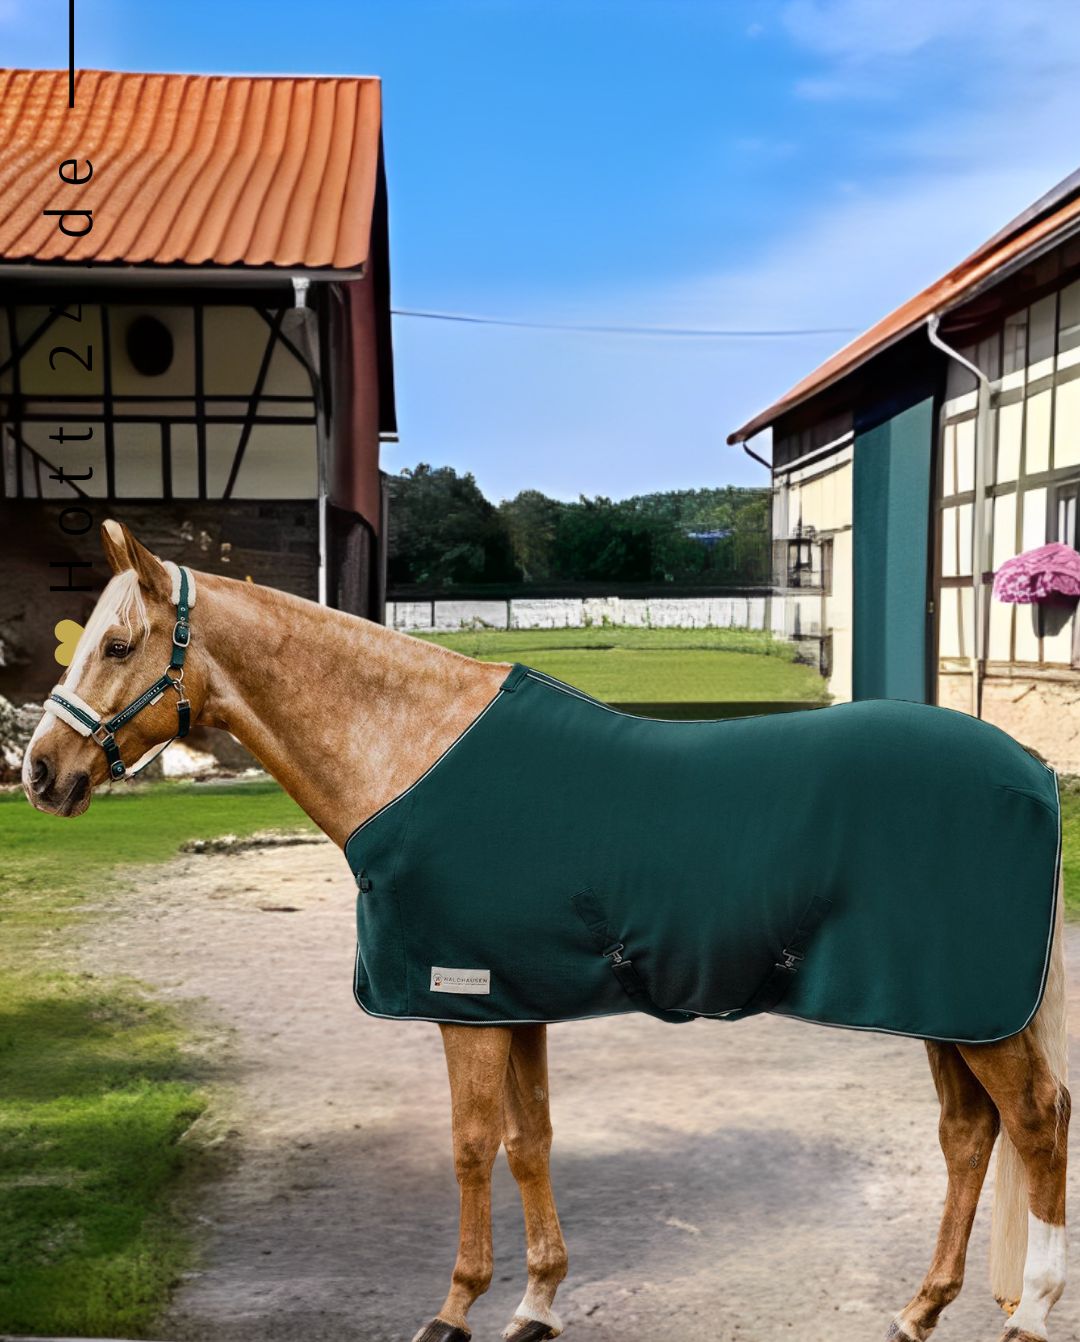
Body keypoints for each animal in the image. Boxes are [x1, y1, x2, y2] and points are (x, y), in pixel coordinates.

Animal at [22, 520, 1070, 1342]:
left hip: (976, 1012)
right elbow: (531, 1141)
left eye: (117, 646)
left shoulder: (462, 998)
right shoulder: (512, 999)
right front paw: (536, 1304)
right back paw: (920, 1310)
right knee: (969, 1133)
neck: (414, 750)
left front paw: (454, 1309)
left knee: (1035, 1120)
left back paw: (1031, 1313)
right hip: (946, 1009)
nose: (39, 773)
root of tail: (1030, 770)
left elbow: (470, 1145)